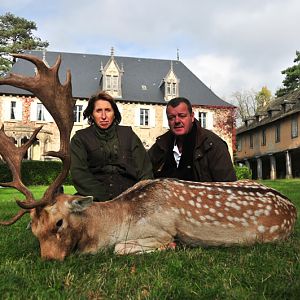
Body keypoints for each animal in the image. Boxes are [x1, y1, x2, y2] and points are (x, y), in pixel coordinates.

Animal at [0, 54, 296, 260]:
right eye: (34, 229)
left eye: (59, 223)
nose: (49, 259)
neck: (118, 220)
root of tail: (291, 207)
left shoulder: (160, 231)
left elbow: (121, 248)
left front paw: (174, 246)